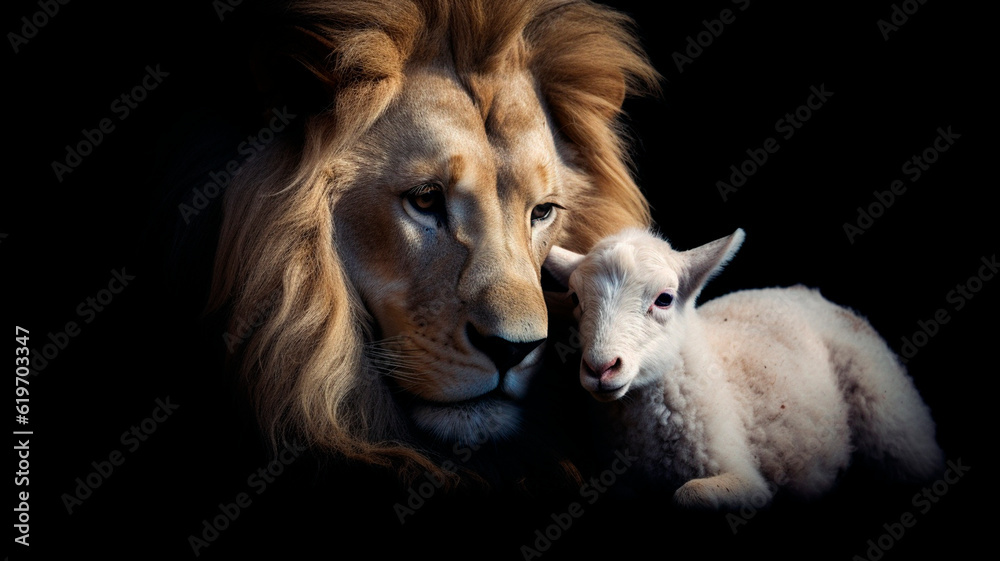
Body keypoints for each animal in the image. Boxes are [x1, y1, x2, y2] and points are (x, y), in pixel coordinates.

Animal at [544, 227, 944, 510]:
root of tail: (808, 293)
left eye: (664, 299)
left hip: (891, 417)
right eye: (576, 299)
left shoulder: (743, 476)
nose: (601, 367)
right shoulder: (620, 482)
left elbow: (688, 495)